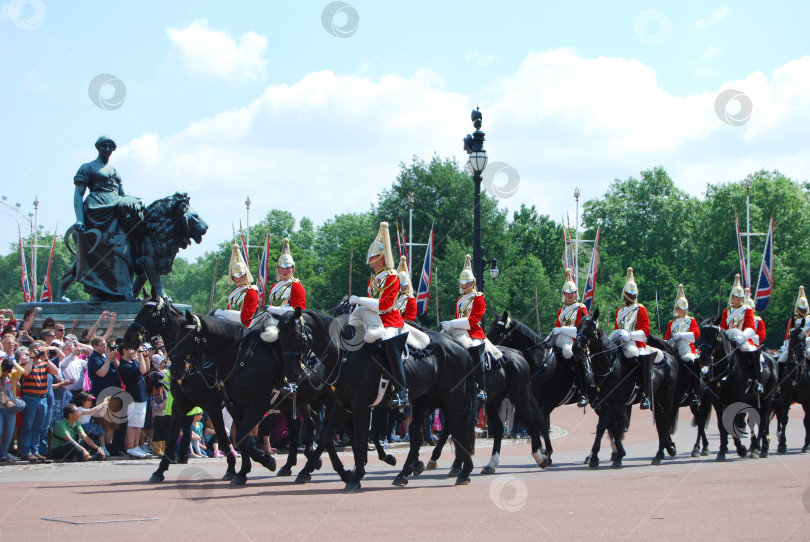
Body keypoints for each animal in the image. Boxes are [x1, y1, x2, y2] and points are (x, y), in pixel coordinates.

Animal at [123, 302, 278, 488]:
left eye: (148, 314)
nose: (126, 340)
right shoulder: (180, 403)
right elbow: (173, 435)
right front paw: (159, 470)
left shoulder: (213, 405)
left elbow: (223, 437)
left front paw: (232, 469)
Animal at [274, 308, 476, 490]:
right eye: (279, 338)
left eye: (296, 334)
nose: (292, 374)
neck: (344, 356)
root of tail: (457, 345)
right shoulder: (342, 405)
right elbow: (326, 436)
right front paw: (326, 472)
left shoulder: (359, 404)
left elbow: (360, 439)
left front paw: (355, 477)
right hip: (424, 400)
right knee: (418, 434)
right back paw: (404, 474)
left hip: (453, 399)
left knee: (459, 430)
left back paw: (464, 472)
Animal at [572, 310, 680, 468]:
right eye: (578, 326)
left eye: (590, 327)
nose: (576, 348)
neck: (609, 365)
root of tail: (668, 356)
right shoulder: (605, 405)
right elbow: (612, 428)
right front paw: (617, 455)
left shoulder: (616, 404)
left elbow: (602, 426)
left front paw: (596, 456)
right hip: (655, 400)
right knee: (660, 423)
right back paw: (664, 451)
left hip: (666, 397)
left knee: (664, 421)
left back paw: (660, 454)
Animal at [696, 320, 776, 462]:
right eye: (702, 333)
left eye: (714, 334)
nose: (703, 359)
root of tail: (772, 359)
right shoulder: (717, 401)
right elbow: (722, 424)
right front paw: (723, 451)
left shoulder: (736, 400)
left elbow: (732, 421)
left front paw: (741, 449)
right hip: (753, 399)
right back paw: (760, 447)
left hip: (767, 398)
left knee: (763, 421)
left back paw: (757, 449)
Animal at [772, 324, 808, 454]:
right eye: (792, 338)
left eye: (804, 337)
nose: (802, 355)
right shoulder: (785, 399)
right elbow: (784, 419)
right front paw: (782, 444)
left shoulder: (806, 401)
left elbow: (806, 421)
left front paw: (806, 445)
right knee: (778, 416)